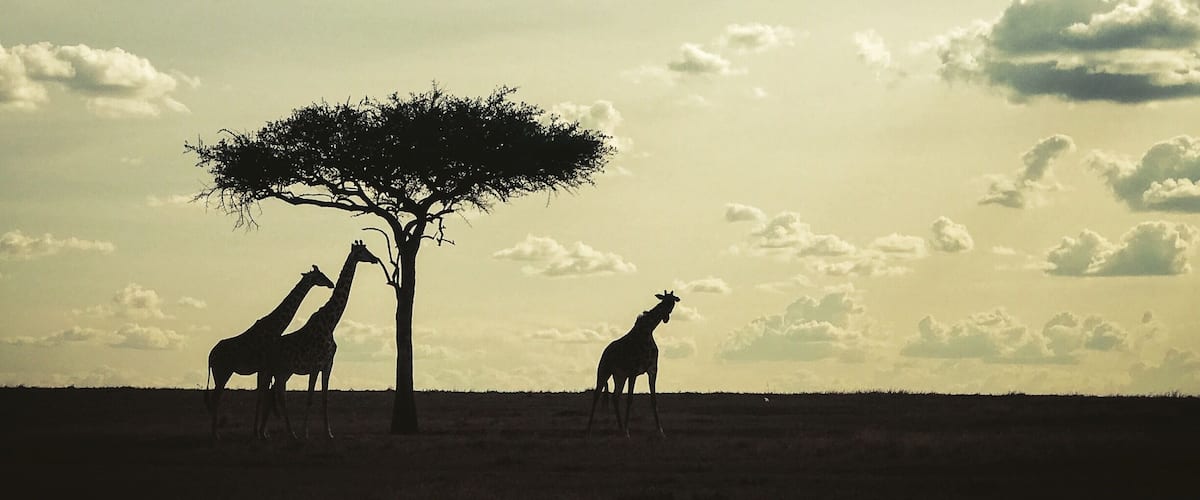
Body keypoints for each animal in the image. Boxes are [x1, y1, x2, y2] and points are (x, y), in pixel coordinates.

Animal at [205, 265, 334, 440]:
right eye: (320, 276)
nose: (331, 284)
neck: (275, 328)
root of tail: (210, 356)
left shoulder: (264, 369)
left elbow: (262, 397)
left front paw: (261, 433)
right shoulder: (265, 367)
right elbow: (263, 397)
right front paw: (259, 433)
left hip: (220, 373)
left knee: (215, 398)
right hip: (223, 372)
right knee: (216, 398)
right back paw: (215, 434)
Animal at [256, 240, 379, 439]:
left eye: (367, 249)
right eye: (362, 251)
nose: (375, 259)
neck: (331, 323)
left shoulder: (328, 364)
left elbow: (324, 399)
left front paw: (328, 433)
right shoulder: (315, 365)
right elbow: (309, 398)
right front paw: (305, 432)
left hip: (283, 372)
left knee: (276, 396)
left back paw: (281, 432)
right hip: (271, 370)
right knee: (268, 395)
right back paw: (271, 433)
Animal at [586, 290, 681, 437]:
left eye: (672, 303)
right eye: (663, 301)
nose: (665, 318)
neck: (647, 332)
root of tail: (605, 351)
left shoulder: (652, 370)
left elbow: (654, 400)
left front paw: (660, 431)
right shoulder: (633, 371)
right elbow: (630, 399)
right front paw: (627, 431)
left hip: (619, 376)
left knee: (615, 397)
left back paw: (619, 428)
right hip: (603, 371)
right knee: (597, 395)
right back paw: (589, 429)